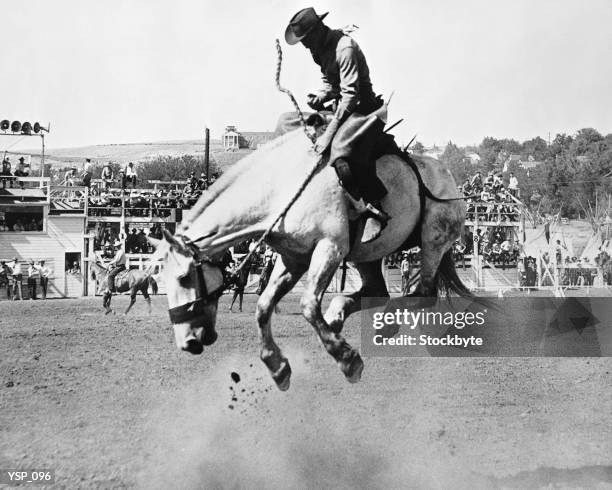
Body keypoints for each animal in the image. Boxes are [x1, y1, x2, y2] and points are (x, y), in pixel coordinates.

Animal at [148, 126, 468, 390]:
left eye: (184, 277)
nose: (187, 341)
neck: (281, 187)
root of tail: (447, 176)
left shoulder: (329, 248)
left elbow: (308, 305)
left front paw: (347, 360)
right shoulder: (293, 259)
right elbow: (264, 305)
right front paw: (277, 367)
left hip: (433, 241)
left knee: (422, 293)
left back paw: (379, 323)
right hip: (367, 254)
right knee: (378, 290)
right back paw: (342, 315)